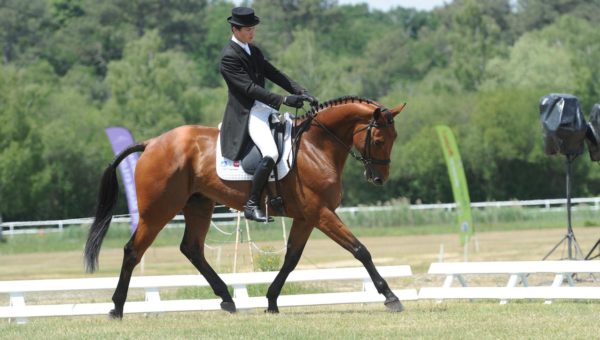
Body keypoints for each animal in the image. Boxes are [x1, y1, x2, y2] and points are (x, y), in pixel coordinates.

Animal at [84, 95, 408, 318]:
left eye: (394, 138)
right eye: (379, 139)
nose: (379, 178)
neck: (316, 146)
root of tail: (151, 143)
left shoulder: (306, 217)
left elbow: (291, 259)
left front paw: (272, 300)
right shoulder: (321, 214)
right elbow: (360, 250)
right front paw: (390, 296)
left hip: (199, 206)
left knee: (192, 249)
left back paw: (227, 299)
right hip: (158, 210)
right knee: (133, 250)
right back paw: (117, 308)